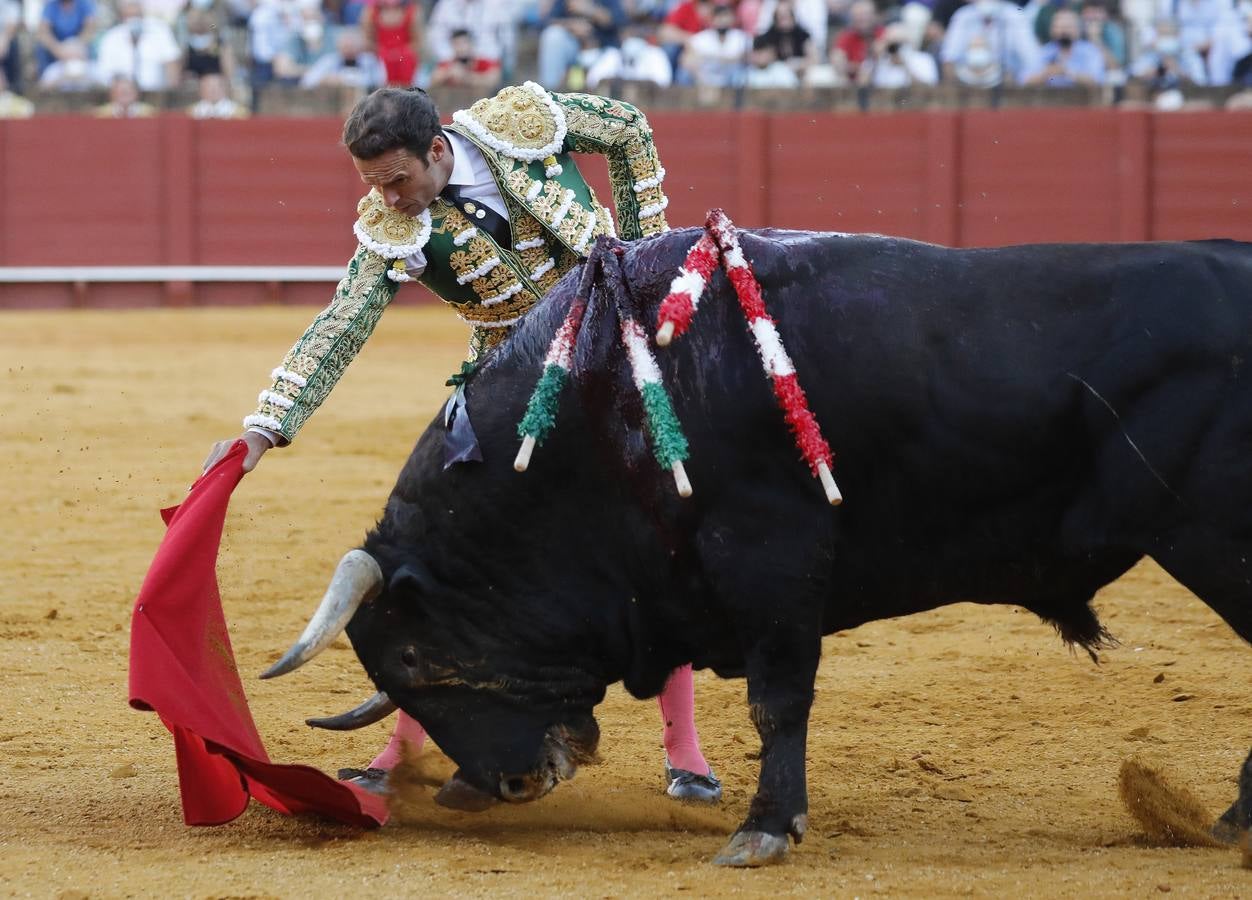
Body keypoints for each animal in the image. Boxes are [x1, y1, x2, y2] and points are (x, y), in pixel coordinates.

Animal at [271, 230, 1252, 866]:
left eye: (412, 655)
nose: (506, 784)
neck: (602, 401)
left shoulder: (771, 557)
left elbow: (779, 699)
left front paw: (767, 829)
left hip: (1213, 539)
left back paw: (1235, 820)